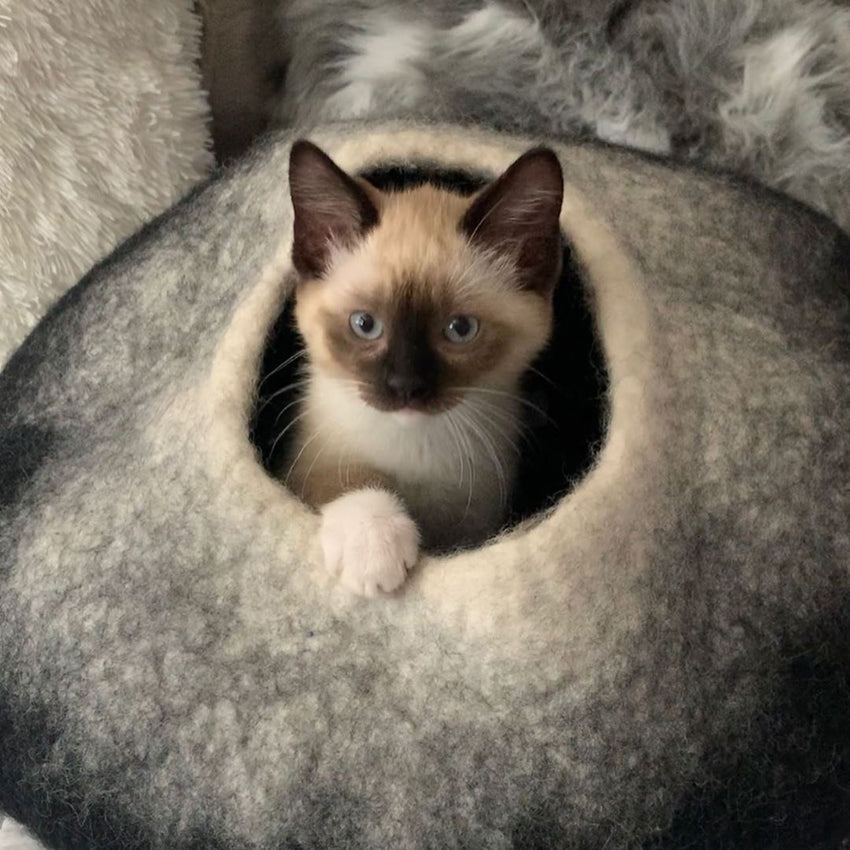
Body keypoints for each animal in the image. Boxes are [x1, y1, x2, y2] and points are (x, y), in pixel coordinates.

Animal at [284, 139, 564, 592]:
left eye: (460, 329)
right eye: (365, 325)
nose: (406, 388)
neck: (417, 450)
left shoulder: (474, 522)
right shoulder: (314, 459)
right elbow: (346, 479)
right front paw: (372, 547)